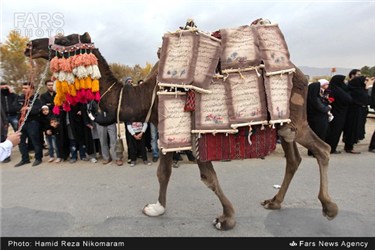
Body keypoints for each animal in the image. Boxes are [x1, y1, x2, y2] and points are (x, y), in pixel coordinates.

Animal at [25, 29, 340, 230]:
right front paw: (156, 208)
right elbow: (162, 172)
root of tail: (303, 75)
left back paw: (329, 208)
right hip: (283, 125)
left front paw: (226, 218)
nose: (30, 45)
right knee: (294, 158)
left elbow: (207, 178)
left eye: (65, 39)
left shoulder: (191, 131)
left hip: (295, 119)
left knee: (323, 149)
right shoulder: (165, 128)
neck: (145, 94)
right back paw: (274, 202)